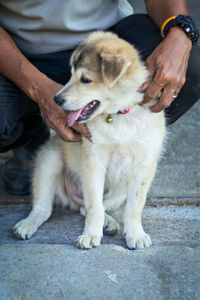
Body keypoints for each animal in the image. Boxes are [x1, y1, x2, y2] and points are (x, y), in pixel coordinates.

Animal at [13, 31, 165, 250]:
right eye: (70, 75)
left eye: (85, 79)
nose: (56, 100)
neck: (118, 116)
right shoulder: (93, 161)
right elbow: (94, 205)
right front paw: (91, 235)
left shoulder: (144, 165)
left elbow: (134, 206)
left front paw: (135, 234)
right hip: (50, 160)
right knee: (46, 207)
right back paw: (26, 225)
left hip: (120, 190)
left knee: (88, 207)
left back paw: (109, 223)